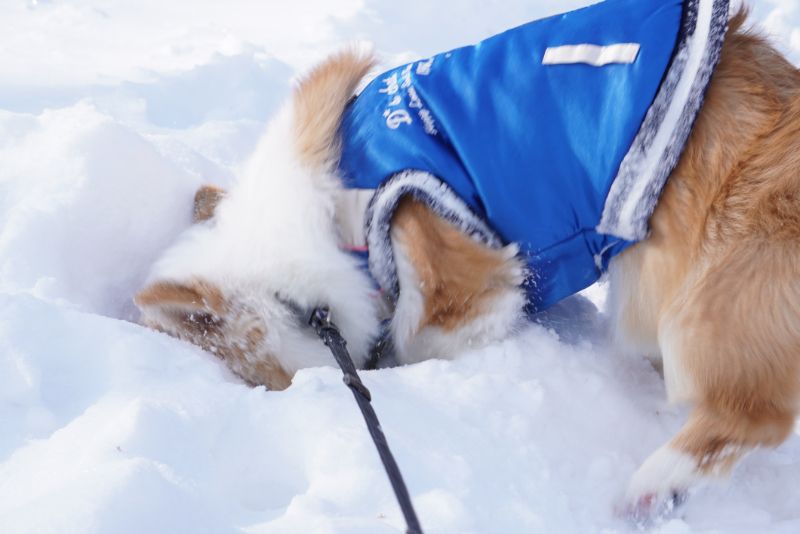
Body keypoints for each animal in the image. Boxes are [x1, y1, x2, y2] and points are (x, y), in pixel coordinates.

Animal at [134, 0, 796, 520]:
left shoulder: (453, 264)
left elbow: (424, 334)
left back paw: (653, 487)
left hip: (700, 307)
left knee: (753, 414)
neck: (316, 232)